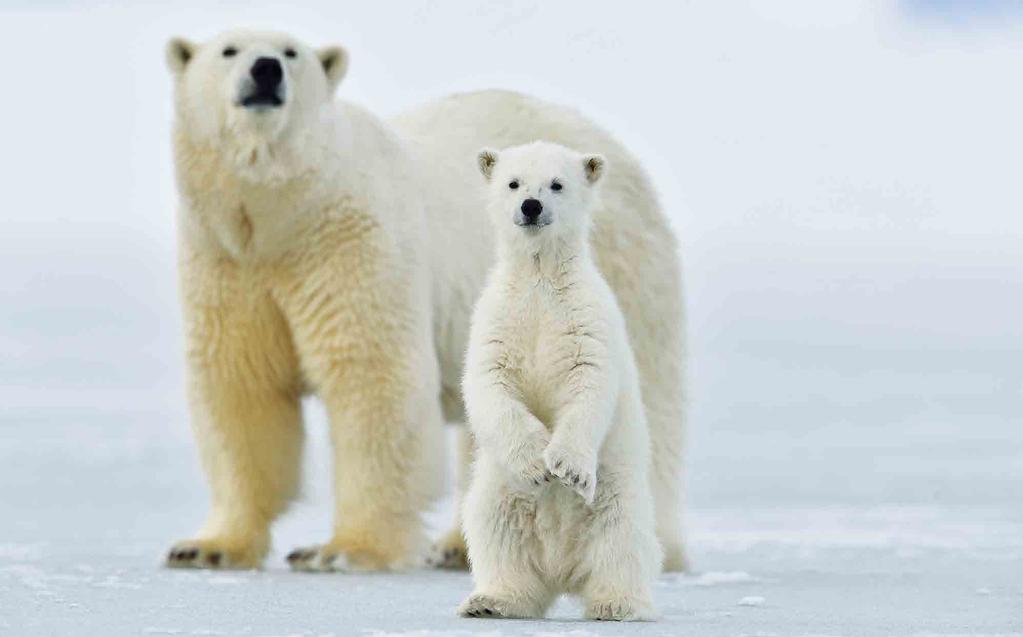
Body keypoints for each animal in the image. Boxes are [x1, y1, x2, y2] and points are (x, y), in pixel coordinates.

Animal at [163, 31, 683, 572]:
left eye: (291, 53)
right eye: (228, 49)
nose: (265, 70)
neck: (284, 218)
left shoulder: (352, 244)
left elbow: (372, 380)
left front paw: (343, 550)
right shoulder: (227, 261)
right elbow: (241, 388)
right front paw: (206, 546)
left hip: (622, 274)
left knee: (648, 402)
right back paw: (459, 545)